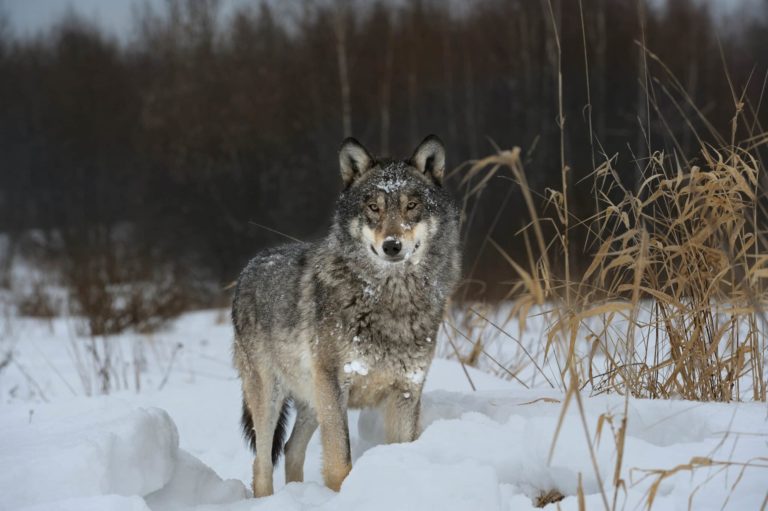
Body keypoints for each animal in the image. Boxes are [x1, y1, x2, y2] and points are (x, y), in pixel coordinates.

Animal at [231, 135, 461, 497]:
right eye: (373, 208)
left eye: (412, 206)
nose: (392, 245)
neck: (390, 301)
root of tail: (249, 267)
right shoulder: (334, 385)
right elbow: (340, 462)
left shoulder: (406, 391)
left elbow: (401, 450)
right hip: (272, 396)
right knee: (262, 462)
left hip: (312, 400)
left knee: (291, 449)